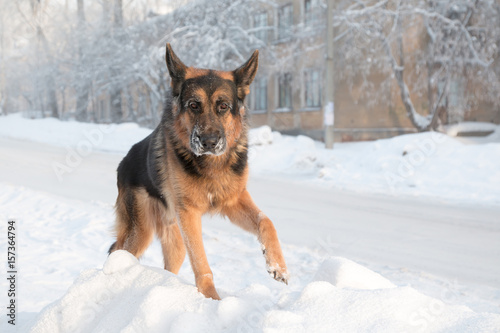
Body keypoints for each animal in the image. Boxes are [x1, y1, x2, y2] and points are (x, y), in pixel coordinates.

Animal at [109, 43, 290, 298]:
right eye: (194, 105)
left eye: (223, 106)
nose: (209, 142)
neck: (212, 164)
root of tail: (122, 164)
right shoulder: (190, 214)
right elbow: (202, 265)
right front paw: (213, 299)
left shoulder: (233, 201)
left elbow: (267, 221)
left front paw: (277, 265)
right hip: (141, 232)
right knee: (117, 250)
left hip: (175, 242)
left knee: (168, 265)